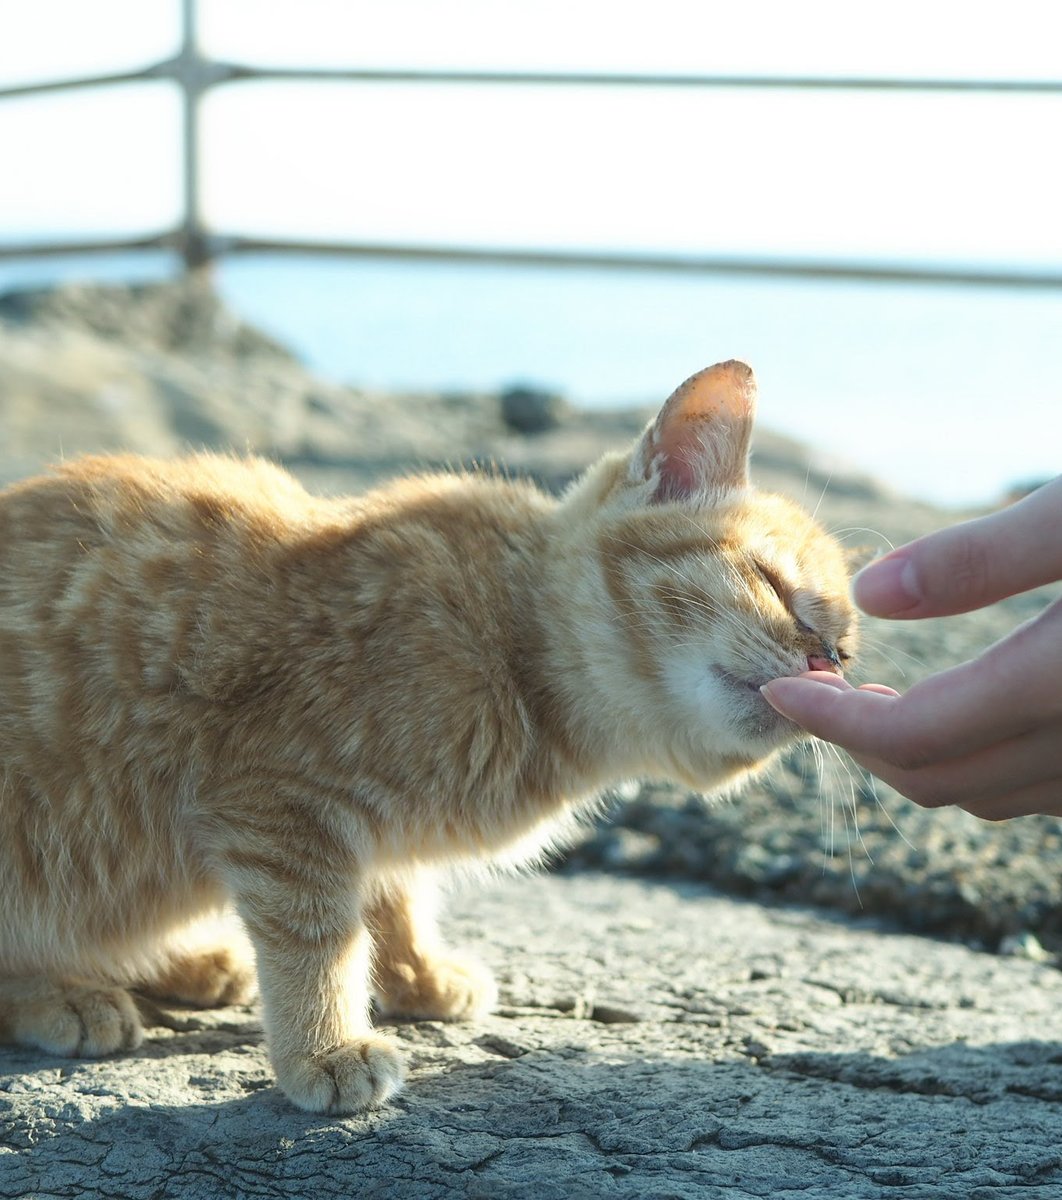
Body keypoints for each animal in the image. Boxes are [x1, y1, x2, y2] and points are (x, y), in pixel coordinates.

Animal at [0, 360, 854, 1108]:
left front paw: (415, 975)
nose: (822, 663)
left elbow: (394, 897)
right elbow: (318, 937)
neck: (516, 649)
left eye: (845, 654)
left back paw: (188, 960)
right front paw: (326, 1046)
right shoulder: (278, 802)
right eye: (774, 584)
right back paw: (67, 995)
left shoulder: (353, 829)